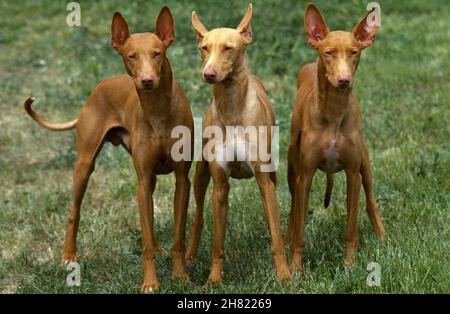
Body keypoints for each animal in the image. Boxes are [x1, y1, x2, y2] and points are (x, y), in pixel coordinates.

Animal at [23, 7, 192, 292]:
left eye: (158, 53)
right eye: (131, 55)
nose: (147, 81)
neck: (158, 109)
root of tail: (99, 87)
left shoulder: (182, 180)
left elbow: (176, 236)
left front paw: (180, 276)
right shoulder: (142, 180)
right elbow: (145, 241)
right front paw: (150, 283)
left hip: (150, 180)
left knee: (150, 223)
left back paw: (160, 249)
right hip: (85, 166)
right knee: (74, 212)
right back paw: (68, 255)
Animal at [185, 3, 290, 284]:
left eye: (228, 48)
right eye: (204, 48)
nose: (208, 74)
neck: (232, 107)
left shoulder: (265, 181)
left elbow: (276, 234)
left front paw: (284, 274)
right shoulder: (220, 186)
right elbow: (217, 244)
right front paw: (213, 280)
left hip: (272, 173)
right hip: (201, 175)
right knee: (198, 216)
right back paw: (188, 255)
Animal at [286, 3, 384, 272]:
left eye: (354, 52)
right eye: (328, 53)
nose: (344, 81)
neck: (333, 112)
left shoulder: (353, 174)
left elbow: (351, 227)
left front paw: (350, 264)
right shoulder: (305, 176)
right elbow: (299, 229)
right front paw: (296, 269)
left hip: (365, 166)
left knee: (370, 200)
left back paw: (382, 235)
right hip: (291, 170)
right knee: (293, 210)